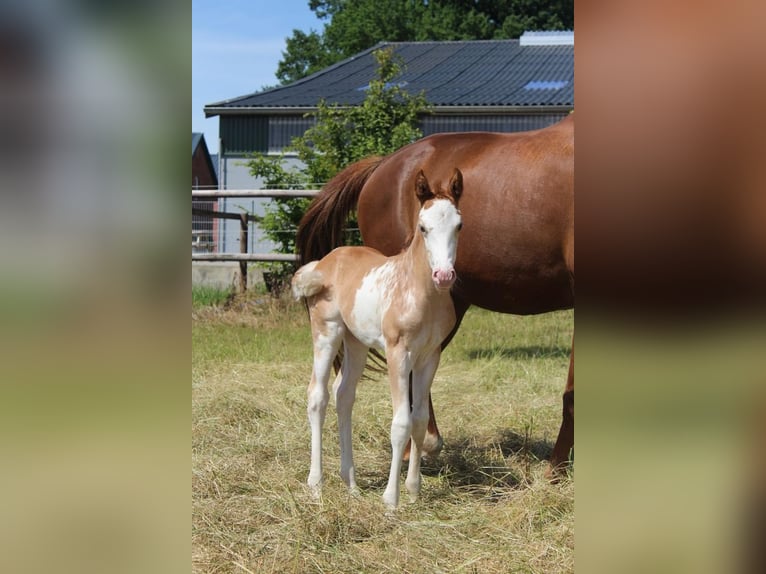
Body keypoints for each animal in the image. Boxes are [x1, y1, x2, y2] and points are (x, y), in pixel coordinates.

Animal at [292, 168, 462, 508]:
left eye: (459, 225)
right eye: (423, 227)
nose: (443, 276)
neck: (420, 292)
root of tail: (324, 262)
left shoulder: (430, 356)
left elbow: (420, 419)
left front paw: (413, 490)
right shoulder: (399, 353)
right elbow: (401, 423)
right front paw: (391, 499)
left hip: (356, 342)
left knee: (344, 395)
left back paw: (351, 483)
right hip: (327, 332)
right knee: (318, 396)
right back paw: (316, 484)